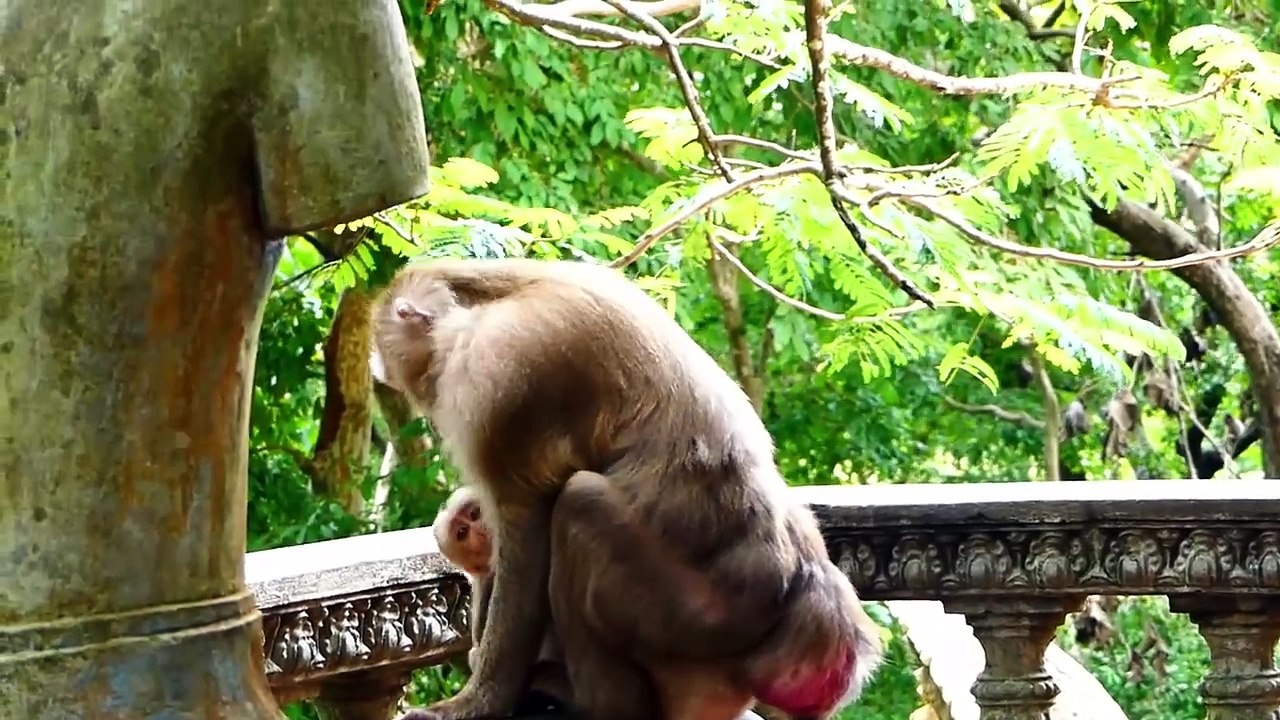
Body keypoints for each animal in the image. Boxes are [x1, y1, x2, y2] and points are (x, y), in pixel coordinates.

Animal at [372, 257, 884, 720]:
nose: (421, 399)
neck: (483, 302)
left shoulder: (495, 378)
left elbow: (526, 524)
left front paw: (475, 702)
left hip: (694, 618)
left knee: (578, 507)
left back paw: (593, 703)